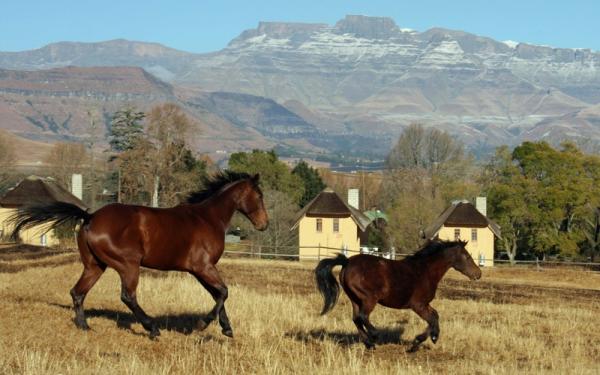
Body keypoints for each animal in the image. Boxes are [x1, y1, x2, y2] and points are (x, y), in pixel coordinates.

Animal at [8, 172, 268, 340]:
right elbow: (223, 292)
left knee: (78, 292)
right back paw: (152, 329)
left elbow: (218, 294)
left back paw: (85, 327)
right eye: (259, 196)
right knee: (127, 296)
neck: (208, 218)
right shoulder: (203, 267)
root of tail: (90, 217)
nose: (264, 224)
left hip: (95, 266)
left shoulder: (199, 270)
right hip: (128, 265)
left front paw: (227, 329)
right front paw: (201, 325)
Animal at [316, 241, 480, 352]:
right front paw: (417, 343)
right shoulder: (418, 305)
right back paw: (374, 336)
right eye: (467, 256)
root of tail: (347, 262)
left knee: (356, 319)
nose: (478, 274)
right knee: (363, 317)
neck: (425, 271)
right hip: (368, 299)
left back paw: (369, 344)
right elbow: (432, 318)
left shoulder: (425, 304)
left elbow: (435, 316)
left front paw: (433, 337)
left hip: (355, 299)